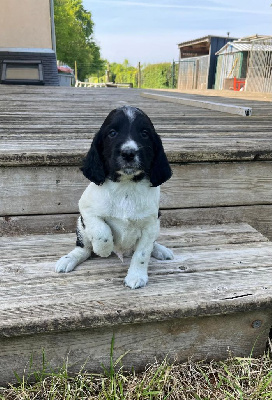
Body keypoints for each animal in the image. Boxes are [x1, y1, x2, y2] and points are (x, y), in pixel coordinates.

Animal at [55, 105, 173, 288]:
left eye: (144, 133)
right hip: (81, 226)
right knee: (84, 249)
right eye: (112, 133)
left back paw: (161, 250)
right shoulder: (86, 209)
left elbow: (142, 253)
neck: (125, 187)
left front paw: (136, 276)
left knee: (150, 245)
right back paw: (69, 259)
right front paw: (103, 249)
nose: (128, 153)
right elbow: (101, 231)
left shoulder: (150, 224)